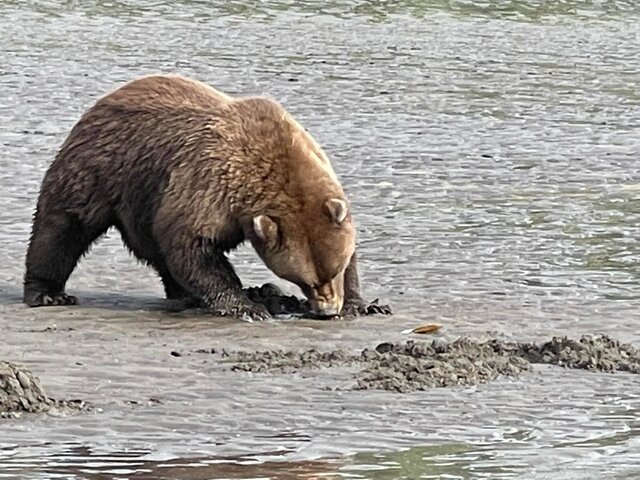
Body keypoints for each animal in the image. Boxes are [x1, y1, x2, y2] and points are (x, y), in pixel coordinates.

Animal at [23, 75, 384, 320]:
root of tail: (104, 100)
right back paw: (48, 293)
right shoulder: (207, 184)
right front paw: (247, 306)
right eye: (303, 279)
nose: (327, 309)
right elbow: (192, 245)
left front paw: (361, 304)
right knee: (63, 227)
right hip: (98, 168)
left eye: (333, 270)